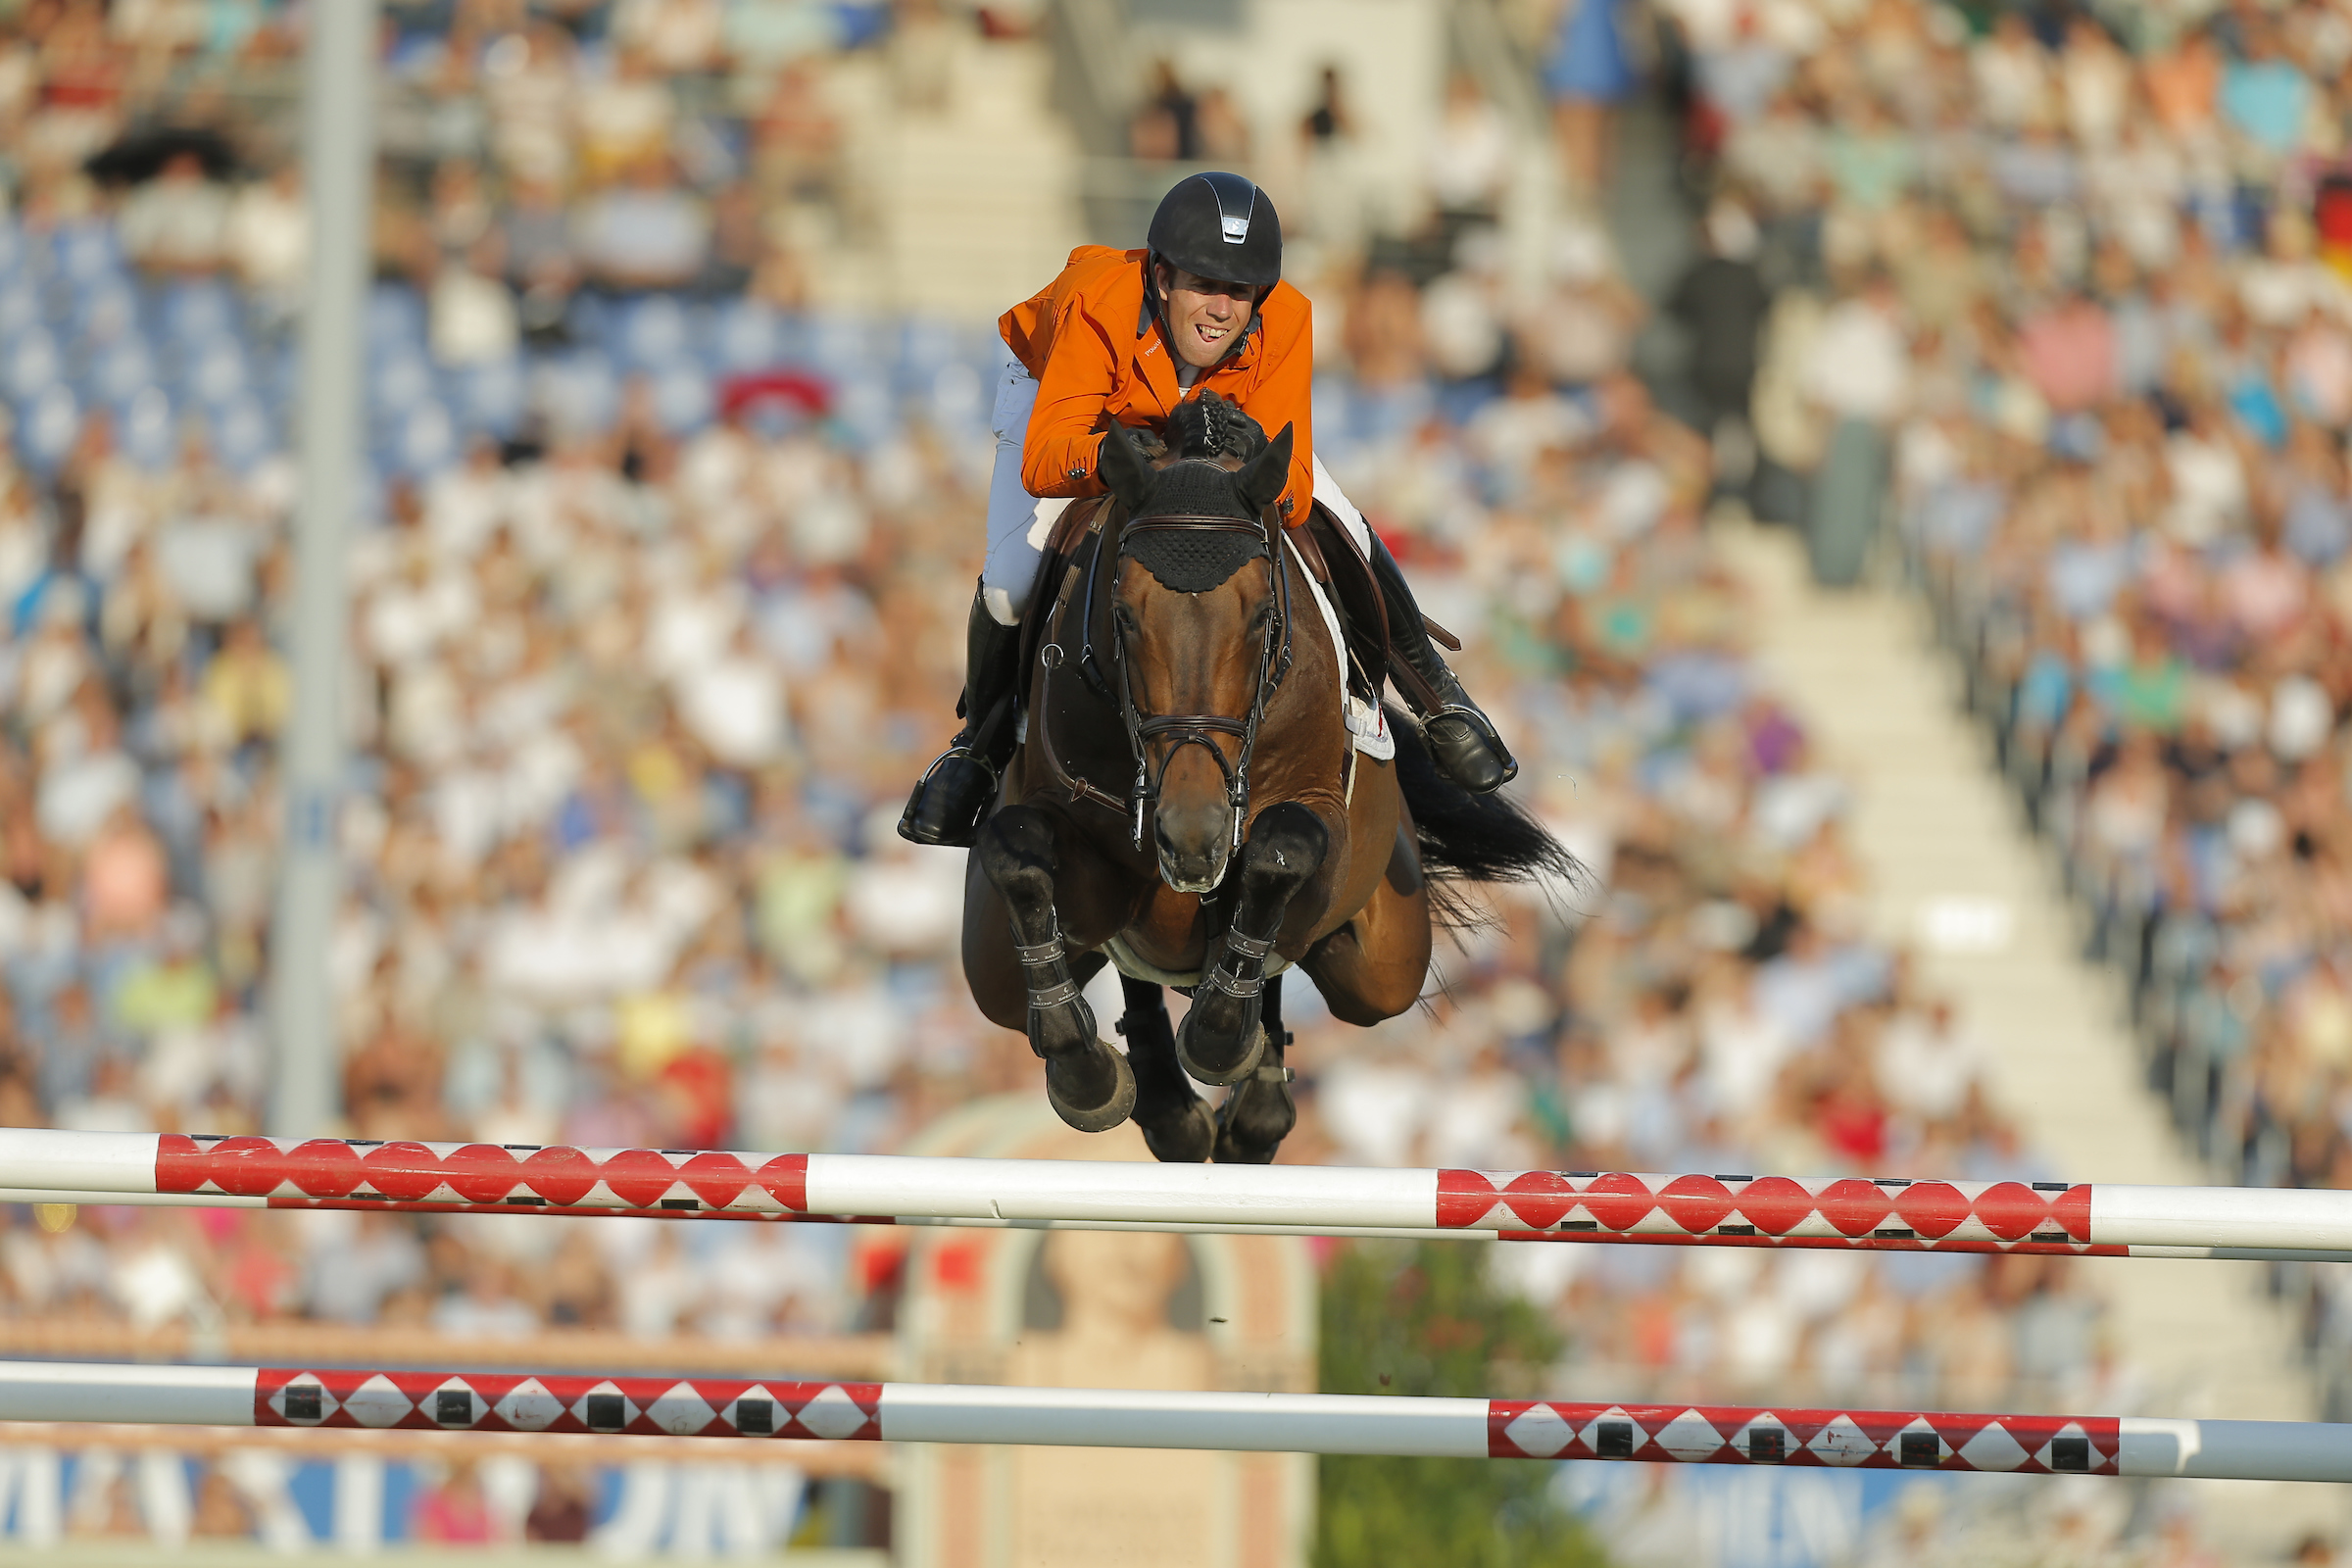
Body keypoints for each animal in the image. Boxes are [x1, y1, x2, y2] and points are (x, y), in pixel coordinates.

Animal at [955, 422, 1580, 1161]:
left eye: (1259, 616)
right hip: (992, 971)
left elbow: (1281, 853)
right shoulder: (1092, 865)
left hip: (1383, 966)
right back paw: (1173, 1107)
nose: (1192, 834)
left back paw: (1252, 1099)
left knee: (1304, 961)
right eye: (1124, 616)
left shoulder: (1317, 825)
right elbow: (1017, 853)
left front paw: (1220, 1036)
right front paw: (1085, 1074)